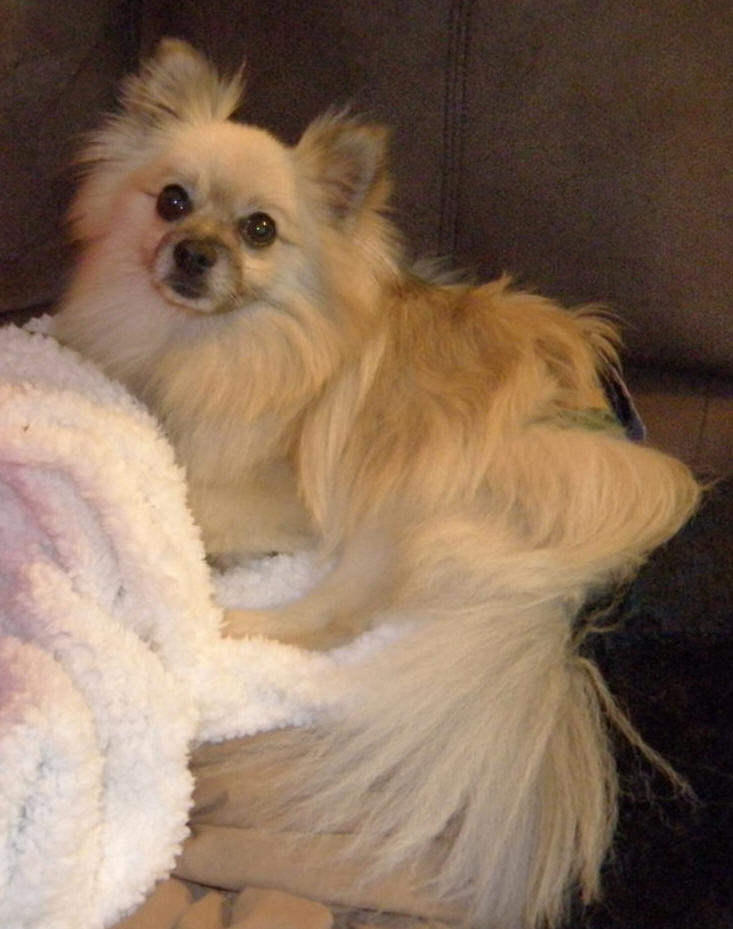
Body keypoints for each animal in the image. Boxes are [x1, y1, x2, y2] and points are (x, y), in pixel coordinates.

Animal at [52, 39, 701, 928]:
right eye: (171, 201)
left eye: (260, 229)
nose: (193, 251)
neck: (213, 343)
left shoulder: (283, 499)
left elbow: (190, 488)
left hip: (409, 502)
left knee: (330, 618)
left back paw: (223, 618)